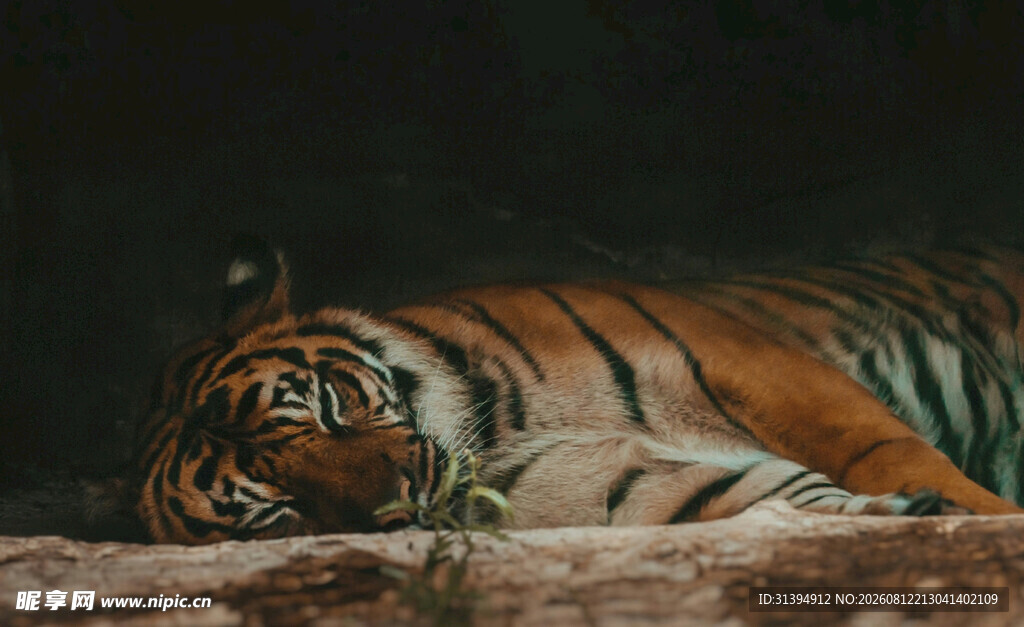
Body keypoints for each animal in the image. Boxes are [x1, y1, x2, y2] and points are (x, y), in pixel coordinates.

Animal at [130, 236, 1024, 544]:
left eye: (323, 405)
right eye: (275, 513)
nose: (404, 498)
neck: (500, 437)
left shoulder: (768, 372)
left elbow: (890, 452)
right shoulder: (642, 486)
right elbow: (786, 502)